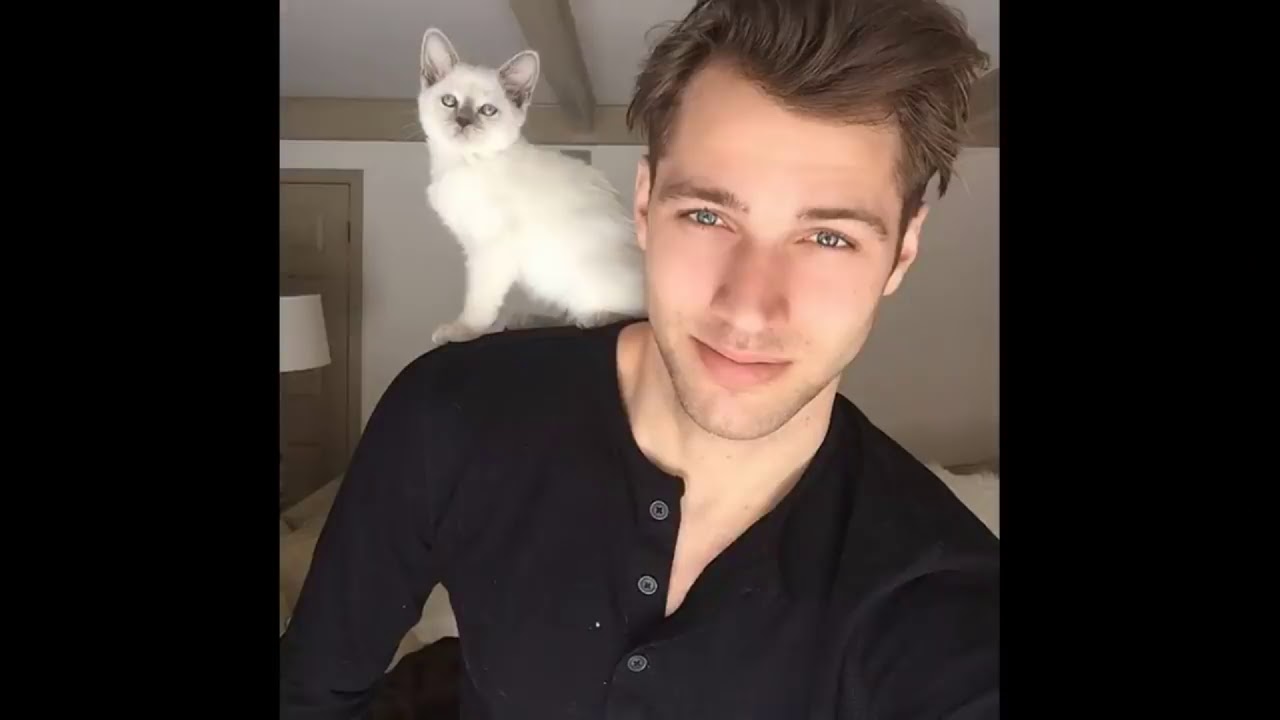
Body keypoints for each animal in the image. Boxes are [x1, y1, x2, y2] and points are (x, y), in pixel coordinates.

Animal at [416, 27, 647, 345]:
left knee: (637, 313)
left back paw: (597, 317)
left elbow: (479, 302)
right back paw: (528, 319)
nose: (463, 121)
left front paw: (462, 330)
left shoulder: (491, 249)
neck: (460, 164)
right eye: (449, 101)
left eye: (488, 110)